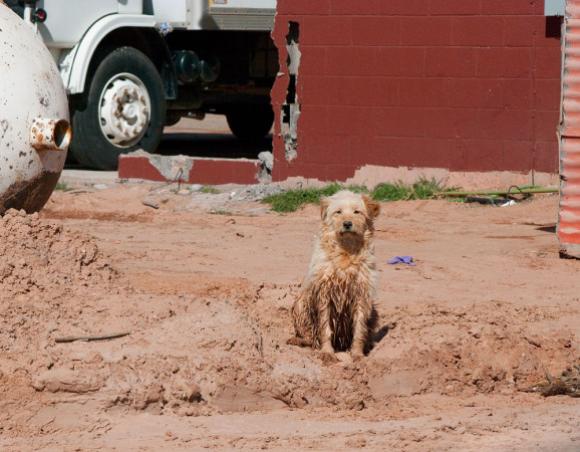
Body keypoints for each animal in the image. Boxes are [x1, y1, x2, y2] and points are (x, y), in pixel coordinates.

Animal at [288, 191, 380, 360]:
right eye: (338, 212)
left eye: (357, 212)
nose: (347, 224)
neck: (346, 251)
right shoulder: (324, 293)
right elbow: (325, 328)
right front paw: (326, 352)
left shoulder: (361, 293)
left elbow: (359, 329)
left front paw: (357, 354)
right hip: (301, 302)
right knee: (308, 335)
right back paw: (300, 340)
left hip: (373, 311)